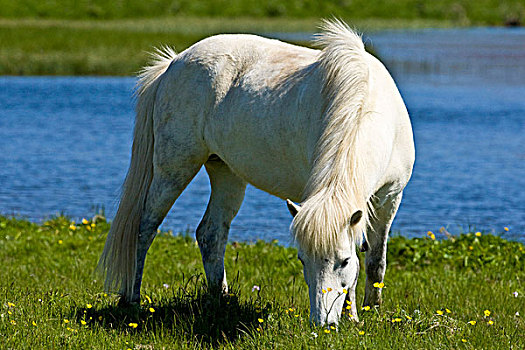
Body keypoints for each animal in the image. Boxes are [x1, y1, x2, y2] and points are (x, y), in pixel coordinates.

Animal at [97, 18, 414, 326]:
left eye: (344, 261)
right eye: (302, 259)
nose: (322, 324)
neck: (365, 104)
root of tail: (173, 63)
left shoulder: (390, 196)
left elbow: (374, 260)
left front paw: (367, 312)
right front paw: (355, 316)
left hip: (226, 173)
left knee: (210, 234)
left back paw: (222, 301)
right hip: (174, 167)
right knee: (145, 229)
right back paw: (133, 301)